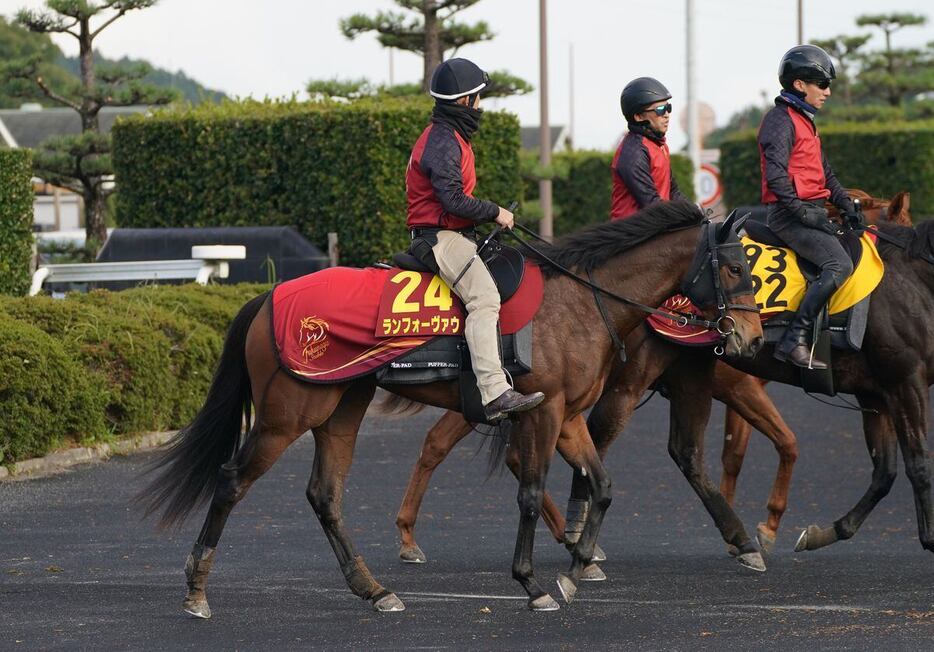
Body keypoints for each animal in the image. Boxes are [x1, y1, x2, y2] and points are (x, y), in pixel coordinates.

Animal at [135, 204, 764, 616]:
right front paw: (534, 584)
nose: (751, 338)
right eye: (735, 268)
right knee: (232, 480)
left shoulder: (567, 417)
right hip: (288, 413)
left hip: (341, 409)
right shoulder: (541, 413)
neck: (582, 300)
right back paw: (196, 588)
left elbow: (603, 486)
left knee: (325, 495)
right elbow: (531, 493)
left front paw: (574, 572)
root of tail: (268, 296)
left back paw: (374, 589)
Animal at [392, 191, 916, 568]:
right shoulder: (726, 385)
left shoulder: (720, 385)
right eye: (734, 267)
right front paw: (758, 531)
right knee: (453, 446)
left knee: (468, 447)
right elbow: (776, 444)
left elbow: (736, 451)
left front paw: (744, 531)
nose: (748, 337)